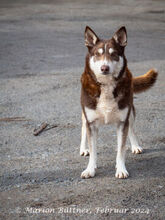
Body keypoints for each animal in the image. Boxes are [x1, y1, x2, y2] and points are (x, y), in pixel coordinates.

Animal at [79, 26, 157, 180]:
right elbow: (93, 150)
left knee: (131, 128)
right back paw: (83, 148)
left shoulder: (122, 122)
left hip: (130, 112)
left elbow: (121, 150)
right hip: (85, 115)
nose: (104, 68)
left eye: (114, 54)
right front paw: (90, 169)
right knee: (83, 128)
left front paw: (120, 169)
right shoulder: (91, 122)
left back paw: (135, 146)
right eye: (97, 54)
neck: (106, 86)